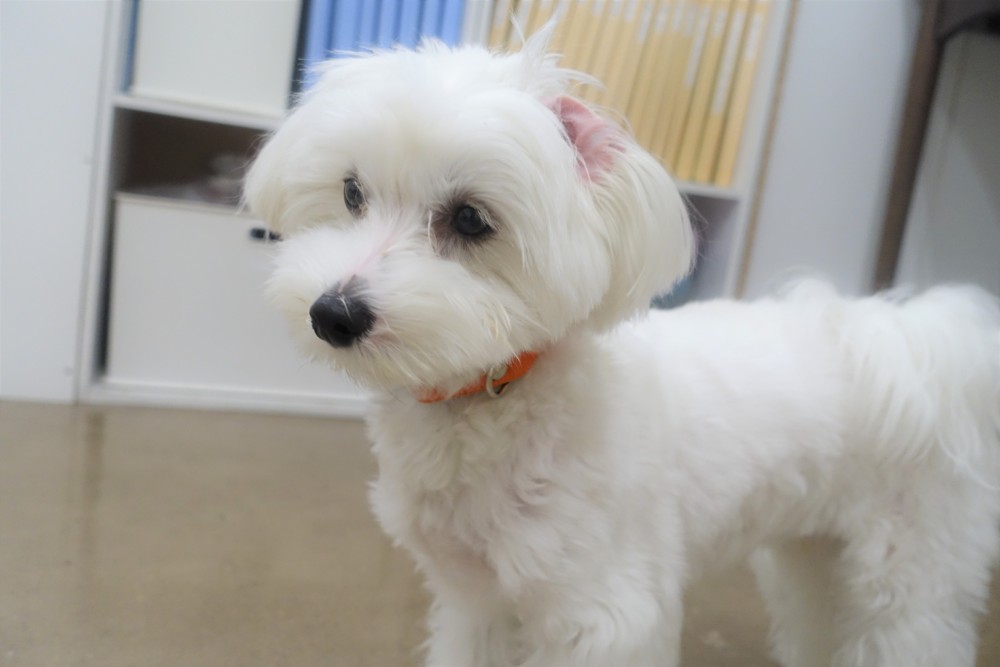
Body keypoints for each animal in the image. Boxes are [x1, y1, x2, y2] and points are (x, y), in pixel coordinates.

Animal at [244, 31, 1000, 667]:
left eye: (470, 218)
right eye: (351, 192)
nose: (333, 313)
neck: (495, 396)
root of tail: (914, 337)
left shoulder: (600, 611)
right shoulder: (478, 599)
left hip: (909, 571)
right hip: (816, 554)